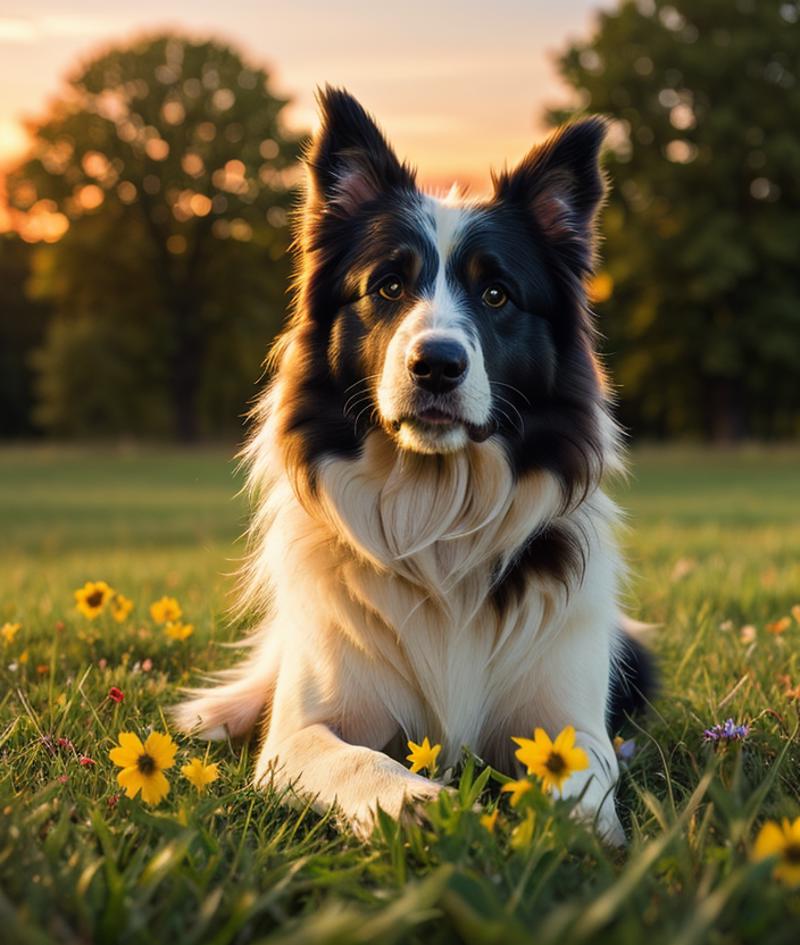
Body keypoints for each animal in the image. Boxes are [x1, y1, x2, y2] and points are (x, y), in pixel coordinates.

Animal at [173, 86, 648, 840]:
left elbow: (576, 781)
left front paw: (568, 831)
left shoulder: (571, 722)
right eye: (389, 286)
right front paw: (416, 803)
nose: (437, 365)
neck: (436, 511)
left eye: (496, 294)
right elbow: (353, 758)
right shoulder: (299, 735)